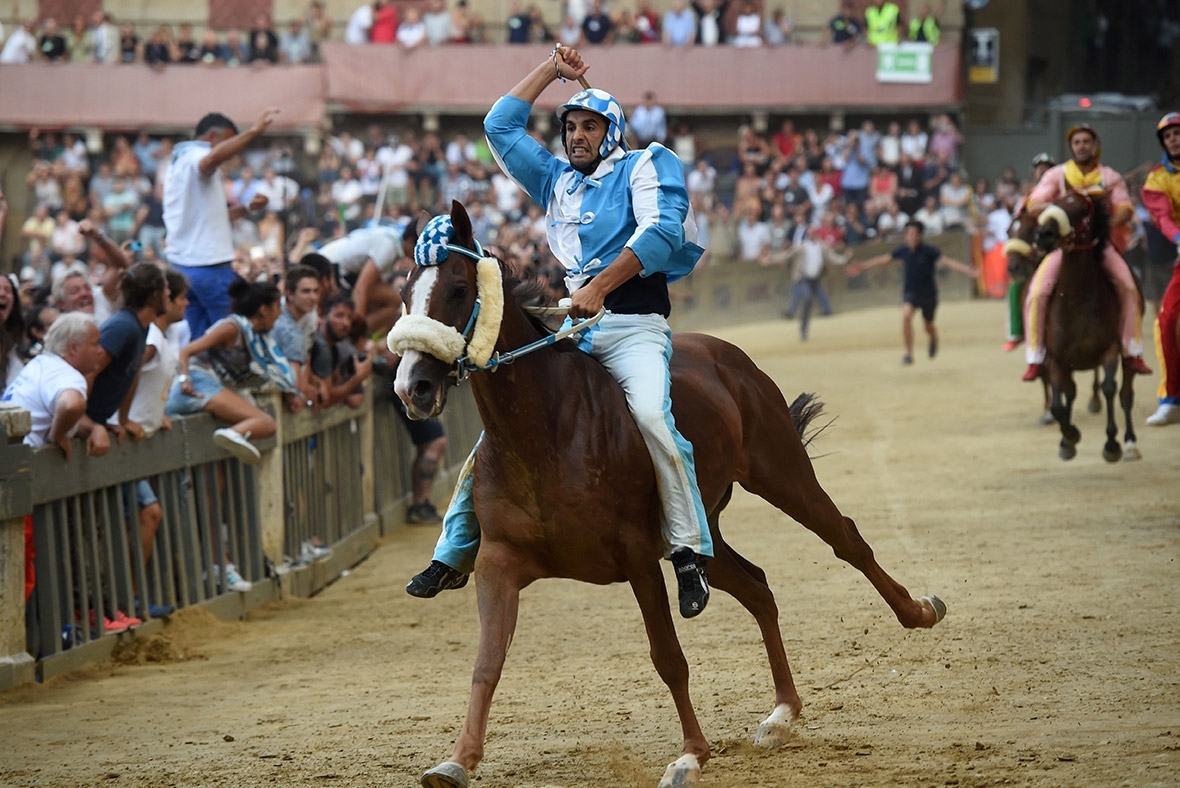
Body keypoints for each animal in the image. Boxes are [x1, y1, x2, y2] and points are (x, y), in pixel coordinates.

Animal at [391, 202, 943, 788]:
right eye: (404, 292)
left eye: (456, 288)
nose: (411, 388)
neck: (548, 429)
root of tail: (728, 357)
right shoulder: (500, 561)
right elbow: (488, 661)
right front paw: (457, 759)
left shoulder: (636, 555)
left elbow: (668, 655)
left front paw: (691, 754)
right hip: (699, 535)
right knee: (756, 587)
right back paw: (782, 713)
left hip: (782, 475)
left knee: (847, 540)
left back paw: (918, 611)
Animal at [1005, 206, 1104, 422]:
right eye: (1008, 232)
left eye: (1029, 231)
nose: (1013, 267)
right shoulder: (1039, 337)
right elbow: (1045, 371)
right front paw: (1048, 410)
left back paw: (1095, 400)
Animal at [1038, 191, 1137, 462]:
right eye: (1057, 202)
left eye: (1082, 211)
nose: (1043, 234)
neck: (1077, 301)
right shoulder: (1055, 357)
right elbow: (1058, 403)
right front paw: (1069, 437)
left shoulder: (1110, 349)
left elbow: (1109, 388)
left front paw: (1112, 444)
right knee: (1070, 392)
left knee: (1126, 394)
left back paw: (1130, 443)